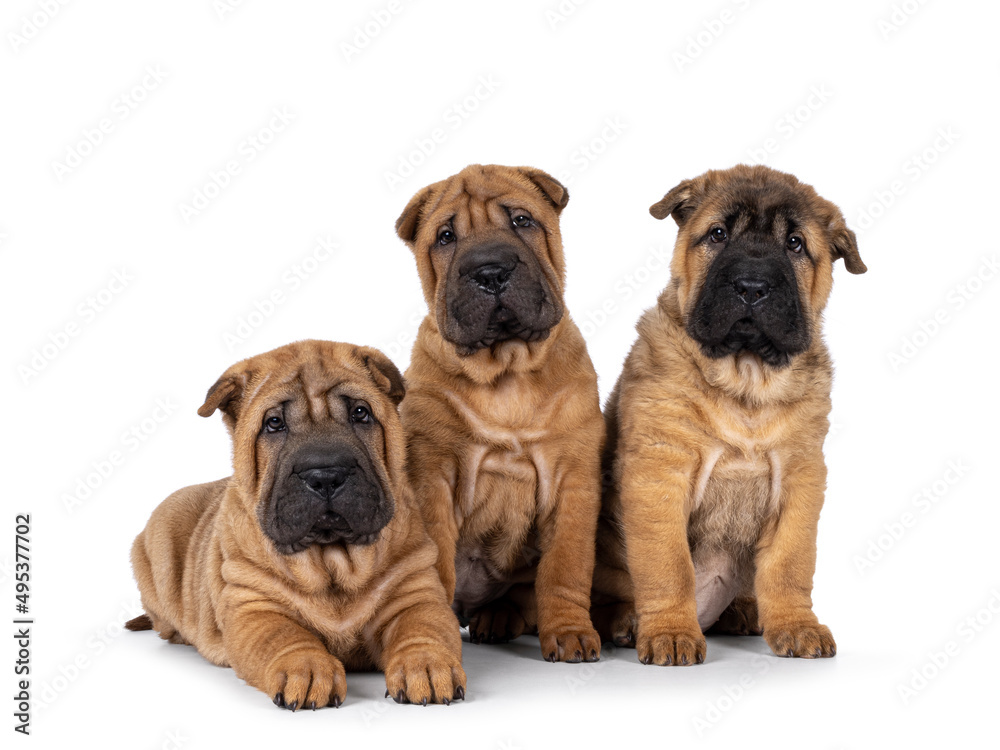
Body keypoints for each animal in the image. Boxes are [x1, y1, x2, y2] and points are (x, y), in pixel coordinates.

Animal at [127, 344, 466, 708]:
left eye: (360, 413)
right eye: (274, 423)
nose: (326, 475)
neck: (332, 561)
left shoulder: (416, 594)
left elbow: (423, 630)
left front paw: (427, 664)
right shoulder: (255, 607)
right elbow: (285, 637)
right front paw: (307, 670)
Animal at [396, 164, 600, 664]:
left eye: (522, 221)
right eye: (446, 236)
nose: (489, 270)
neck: (506, 372)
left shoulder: (574, 480)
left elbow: (565, 568)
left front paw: (570, 633)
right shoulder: (432, 476)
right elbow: (436, 561)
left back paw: (498, 618)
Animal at [588, 167, 864, 668]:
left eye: (795, 243)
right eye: (717, 234)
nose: (752, 287)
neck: (746, 381)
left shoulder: (800, 476)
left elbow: (790, 562)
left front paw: (796, 625)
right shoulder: (660, 471)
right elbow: (668, 563)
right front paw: (671, 632)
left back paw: (744, 610)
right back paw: (625, 621)